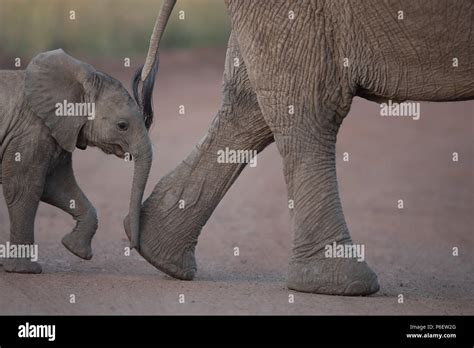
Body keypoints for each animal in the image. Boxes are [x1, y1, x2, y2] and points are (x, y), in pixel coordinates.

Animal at [0, 49, 152, 274]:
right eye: (122, 125)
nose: (133, 246)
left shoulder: (59, 130)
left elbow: (55, 186)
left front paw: (75, 249)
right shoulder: (30, 132)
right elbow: (24, 188)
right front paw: (25, 270)